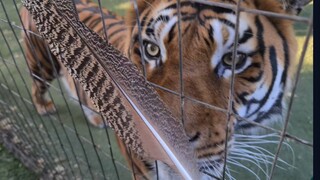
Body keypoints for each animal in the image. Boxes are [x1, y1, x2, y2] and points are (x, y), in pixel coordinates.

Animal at [20, 0, 310, 179]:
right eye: (151, 49)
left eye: (234, 59)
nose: (167, 140)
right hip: (41, 61)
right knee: (37, 85)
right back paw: (44, 108)